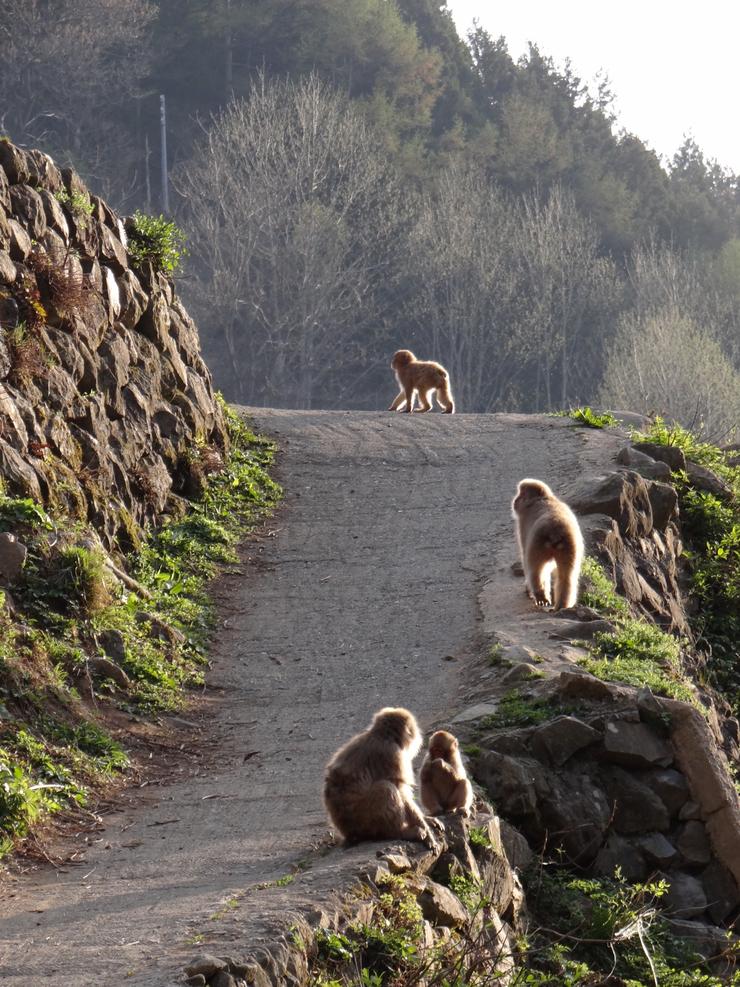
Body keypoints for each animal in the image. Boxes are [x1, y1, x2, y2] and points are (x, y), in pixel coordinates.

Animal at [320, 708, 436, 844]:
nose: (417, 732)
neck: (382, 736)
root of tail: (348, 832)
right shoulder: (392, 754)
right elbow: (401, 790)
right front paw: (424, 827)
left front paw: (426, 819)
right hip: (364, 821)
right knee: (385, 788)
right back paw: (400, 832)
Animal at [508, 478, 584, 608]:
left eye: (520, 494)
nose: (515, 500)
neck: (542, 498)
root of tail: (555, 529)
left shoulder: (523, 525)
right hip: (570, 546)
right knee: (567, 576)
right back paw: (562, 604)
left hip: (536, 544)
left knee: (535, 570)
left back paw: (540, 596)